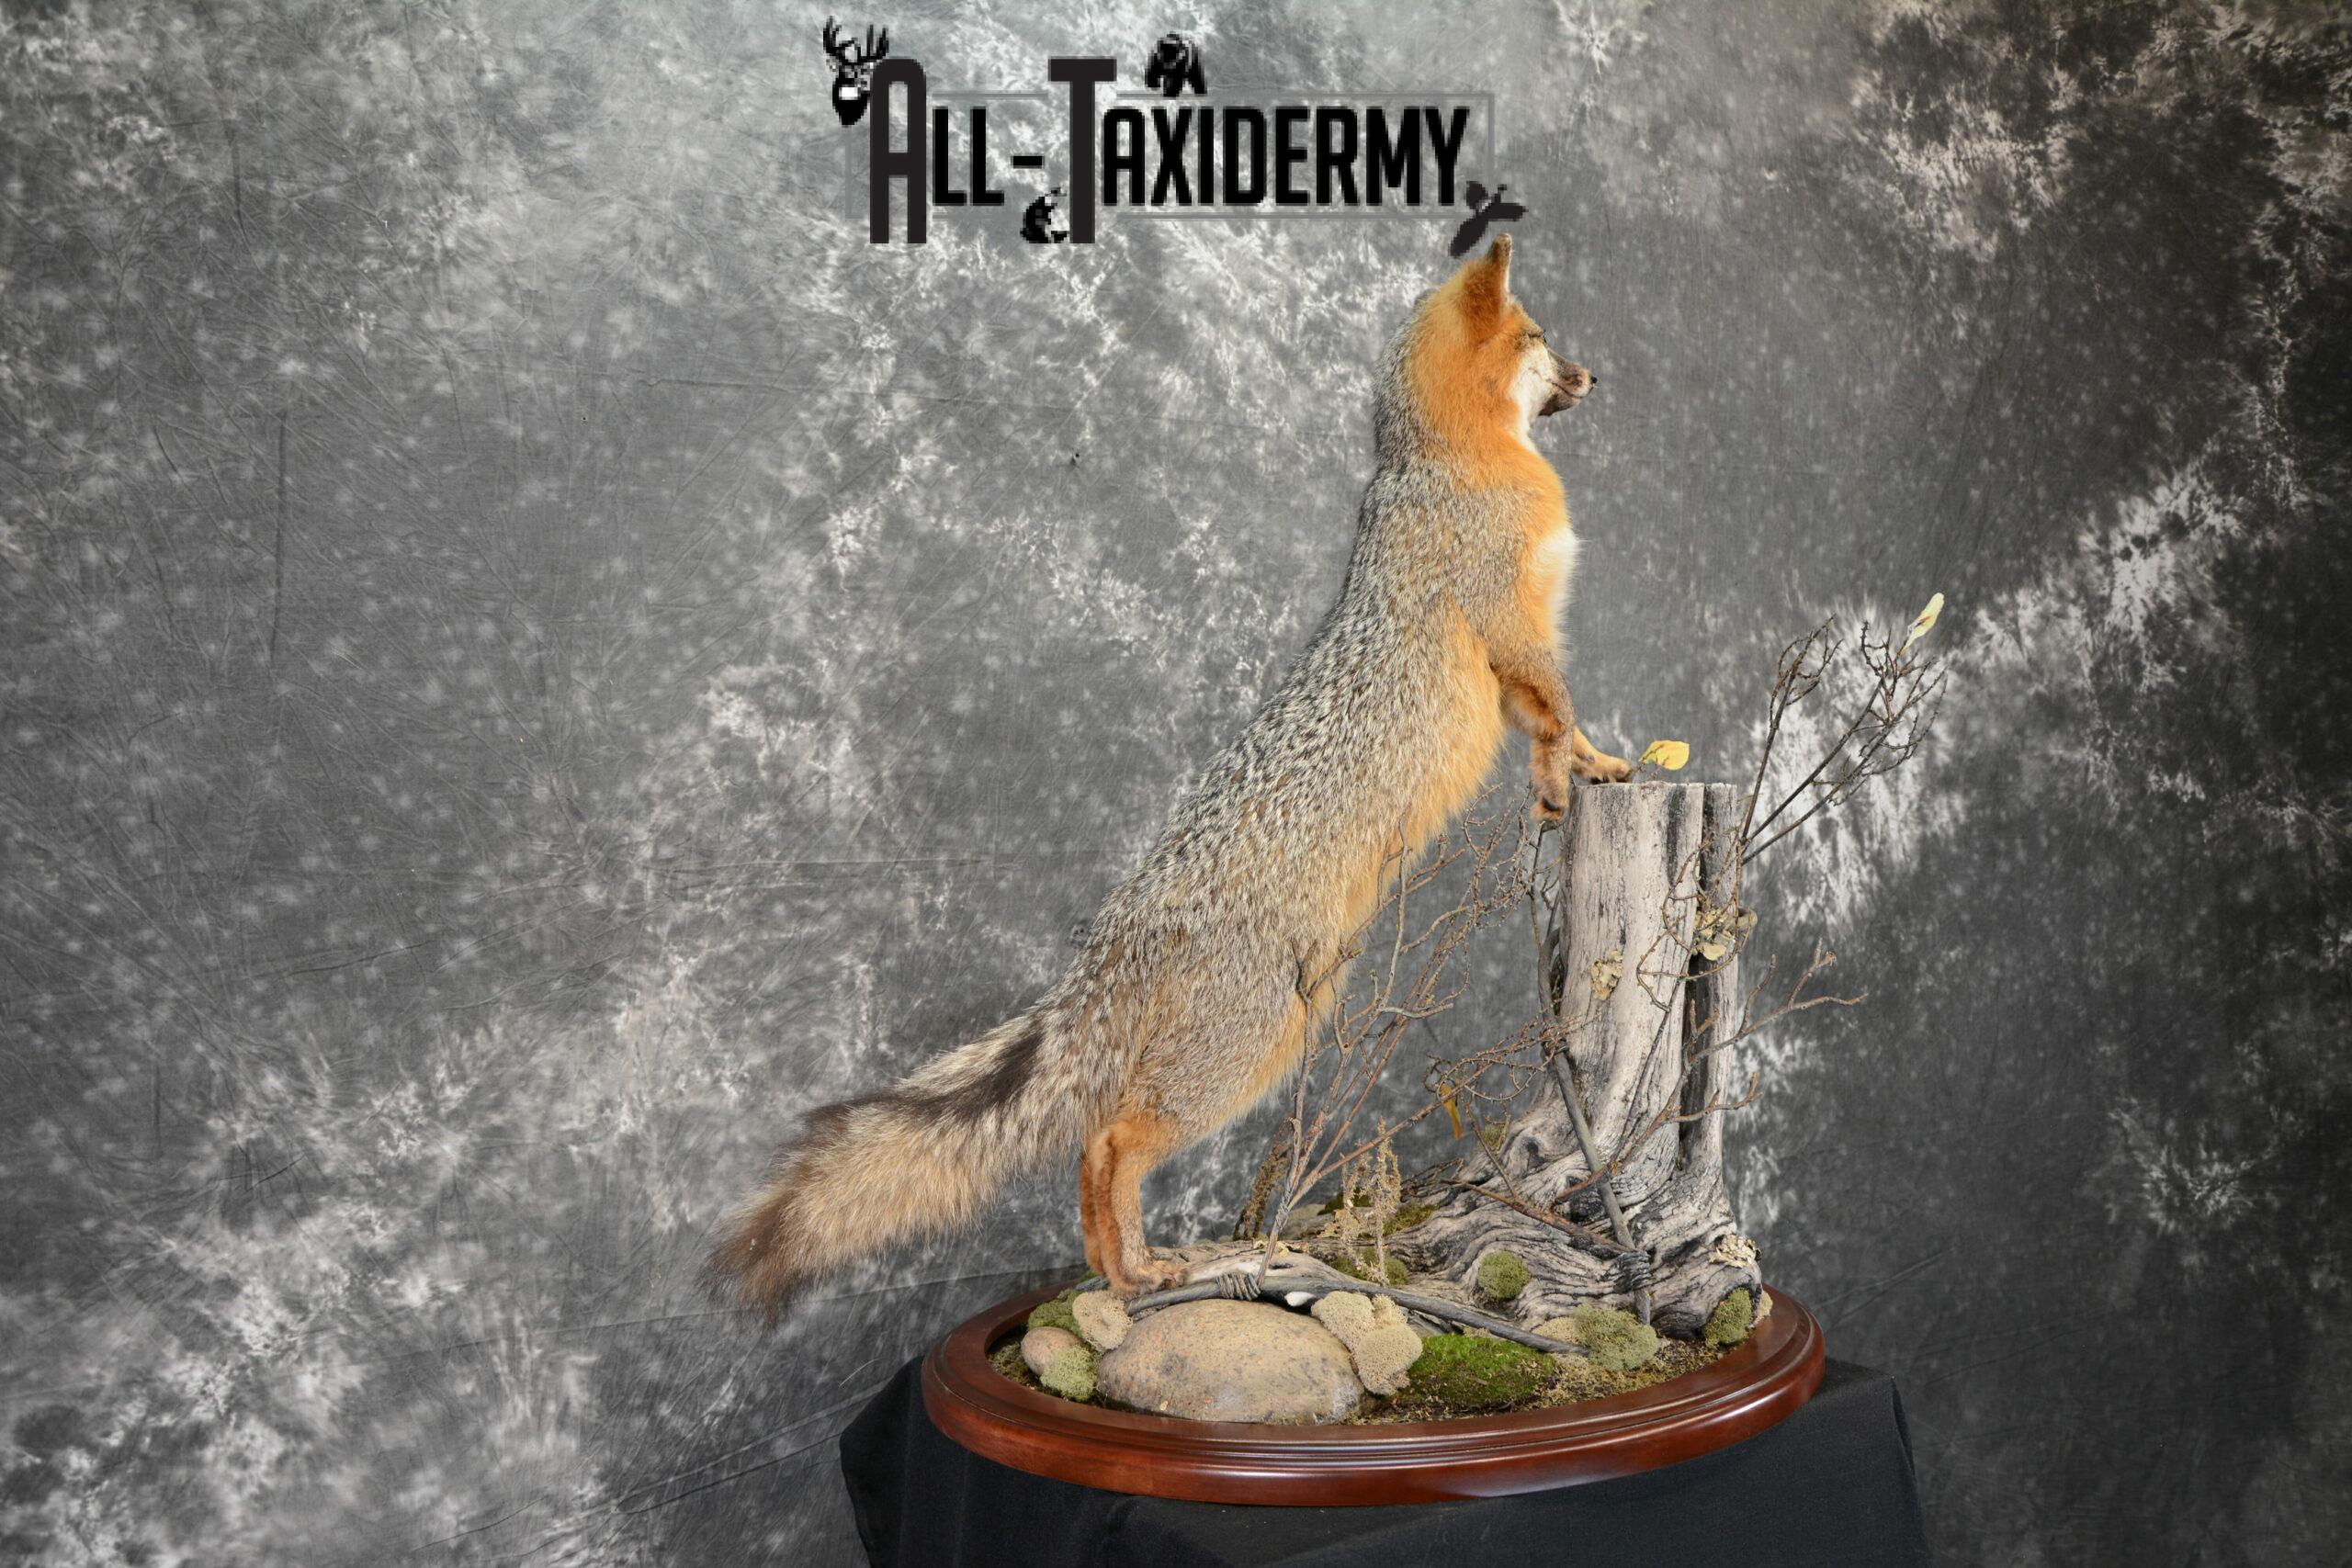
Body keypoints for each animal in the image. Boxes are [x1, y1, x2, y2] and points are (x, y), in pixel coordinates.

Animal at [711, 235, 1634, 1309]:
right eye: (1541, 339)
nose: (1594, 375)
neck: (1451, 462)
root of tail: (1114, 938)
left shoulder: (1516, 653)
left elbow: (1563, 726)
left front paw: (1600, 768)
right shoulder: (1509, 624)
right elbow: (1556, 713)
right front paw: (1566, 781)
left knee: (1092, 1148)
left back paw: (1122, 1273)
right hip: (1246, 1052)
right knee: (1110, 1141)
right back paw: (1140, 1271)